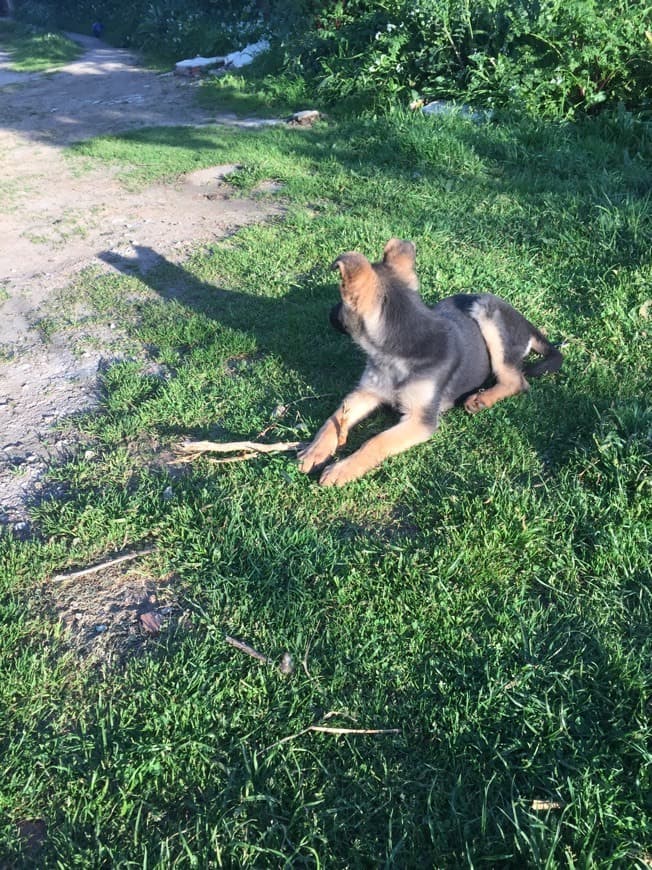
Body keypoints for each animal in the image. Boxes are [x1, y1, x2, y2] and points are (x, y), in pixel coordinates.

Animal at [296, 238, 560, 488]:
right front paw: (315, 450)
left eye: (341, 301)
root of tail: (525, 322)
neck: (402, 345)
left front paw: (342, 469)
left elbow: (376, 441)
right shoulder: (366, 392)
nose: (329, 314)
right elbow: (334, 419)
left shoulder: (420, 420)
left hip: (487, 314)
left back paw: (482, 399)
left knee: (517, 380)